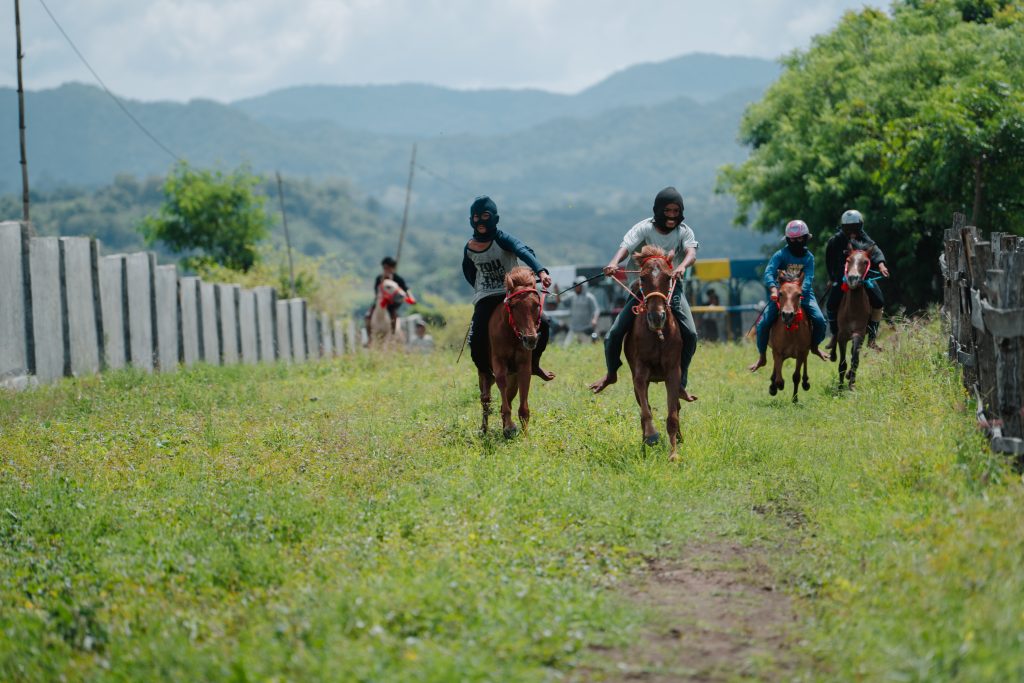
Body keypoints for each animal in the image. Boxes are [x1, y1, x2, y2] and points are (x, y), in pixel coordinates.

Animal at [479, 266, 543, 438]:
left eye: (536, 304)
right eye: (513, 306)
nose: (530, 339)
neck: (512, 334)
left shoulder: (523, 366)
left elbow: (522, 401)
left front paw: (524, 433)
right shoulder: (499, 361)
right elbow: (501, 381)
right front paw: (509, 426)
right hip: (484, 374)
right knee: (485, 399)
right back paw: (484, 429)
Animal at [623, 245, 684, 461]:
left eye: (668, 277)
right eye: (642, 278)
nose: (656, 317)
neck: (657, 334)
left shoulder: (673, 372)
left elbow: (672, 415)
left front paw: (673, 455)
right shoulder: (640, 372)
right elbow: (646, 411)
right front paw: (651, 436)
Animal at [767, 272, 812, 403]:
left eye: (799, 294)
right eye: (780, 293)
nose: (787, 315)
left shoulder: (801, 352)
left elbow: (796, 376)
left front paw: (795, 399)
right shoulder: (777, 351)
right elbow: (779, 379)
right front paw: (775, 386)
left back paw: (806, 382)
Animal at [835, 249, 872, 390]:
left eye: (865, 261)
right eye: (848, 260)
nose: (852, 278)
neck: (853, 310)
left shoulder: (859, 333)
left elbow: (855, 360)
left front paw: (851, 384)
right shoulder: (842, 336)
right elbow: (842, 364)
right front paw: (840, 387)